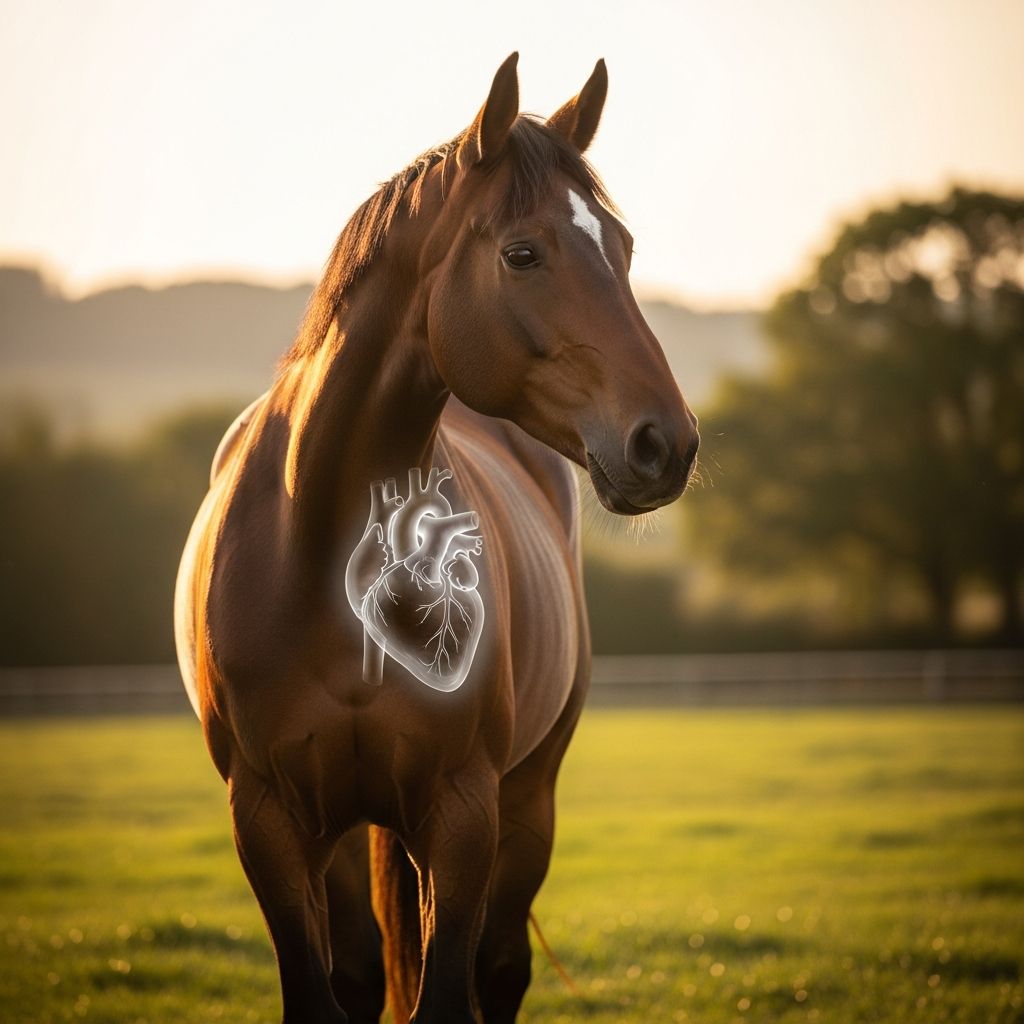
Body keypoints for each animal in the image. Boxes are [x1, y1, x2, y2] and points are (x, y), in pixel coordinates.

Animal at [174, 52, 699, 1024]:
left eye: (623, 248)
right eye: (523, 253)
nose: (667, 443)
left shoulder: (462, 815)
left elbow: (449, 992)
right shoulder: (267, 819)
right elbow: (323, 991)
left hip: (525, 802)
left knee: (500, 968)